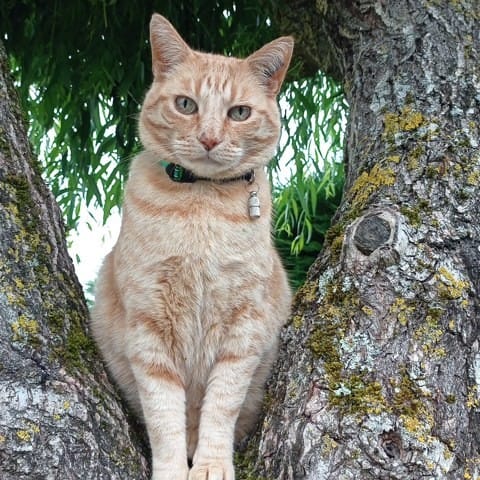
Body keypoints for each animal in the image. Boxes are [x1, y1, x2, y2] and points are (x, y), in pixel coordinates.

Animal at [91, 13, 293, 480]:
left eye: (239, 113)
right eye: (186, 105)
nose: (209, 139)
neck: (201, 202)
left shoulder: (243, 329)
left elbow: (220, 407)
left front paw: (210, 465)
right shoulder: (150, 329)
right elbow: (165, 415)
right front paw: (172, 469)